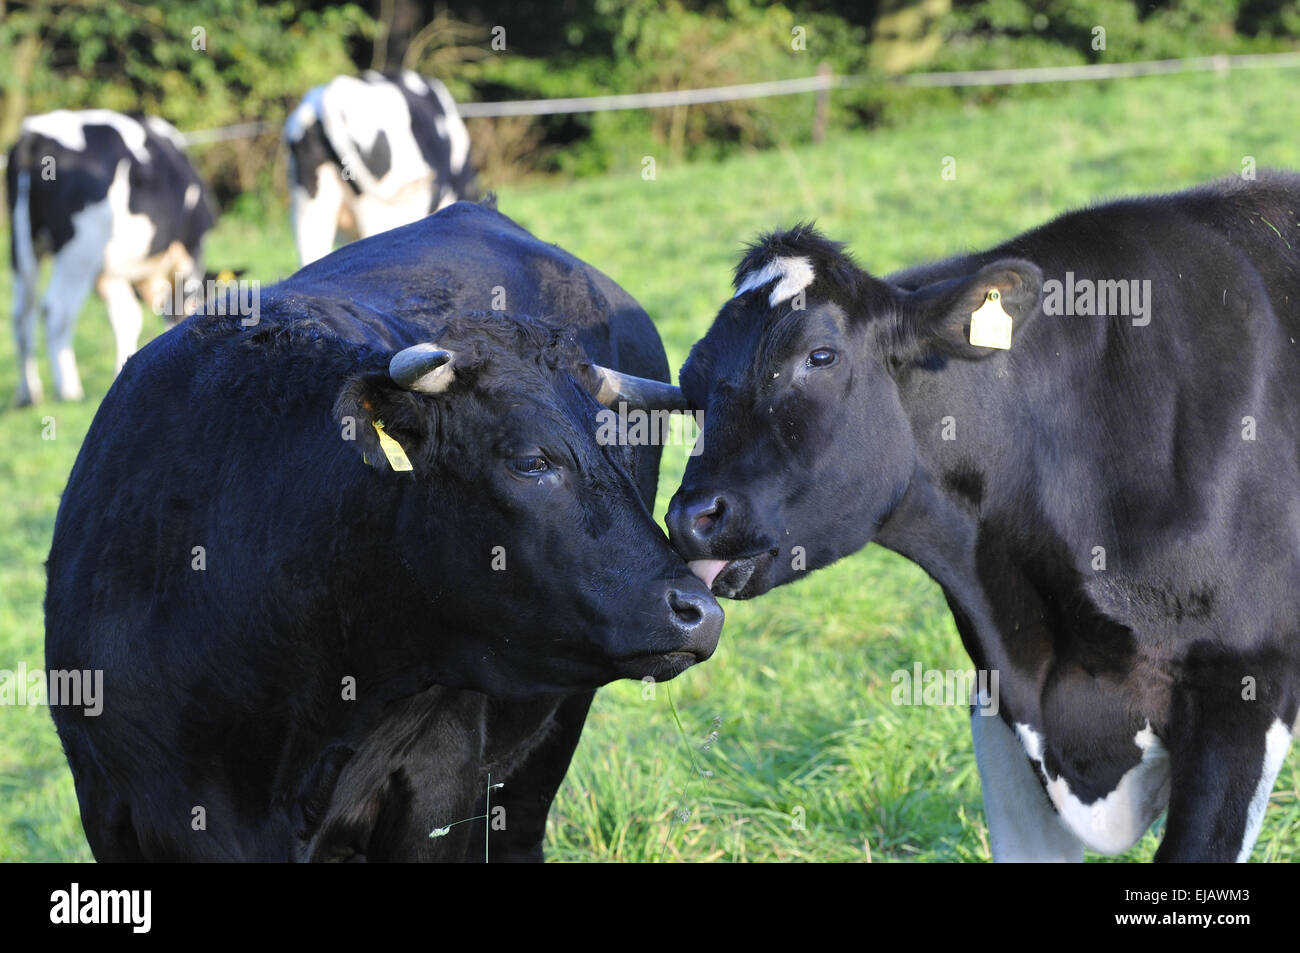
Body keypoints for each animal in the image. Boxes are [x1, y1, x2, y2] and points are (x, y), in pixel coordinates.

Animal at [6, 108, 214, 405]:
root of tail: (35, 134)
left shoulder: (111, 273)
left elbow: (126, 317)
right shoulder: (188, 254)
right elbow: (170, 313)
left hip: (23, 246)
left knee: (22, 313)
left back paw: (28, 393)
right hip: (79, 251)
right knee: (56, 310)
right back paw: (68, 390)